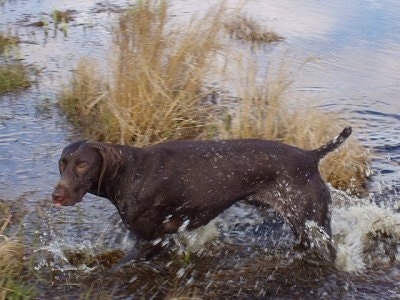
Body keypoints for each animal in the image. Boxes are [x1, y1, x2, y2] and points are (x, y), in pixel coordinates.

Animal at [51, 126, 352, 260]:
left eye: (82, 164)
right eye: (62, 163)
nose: (56, 195)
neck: (130, 173)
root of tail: (310, 156)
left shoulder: (152, 241)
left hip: (315, 223)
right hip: (302, 228)